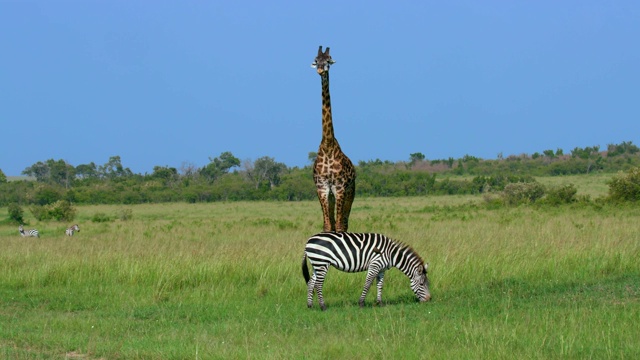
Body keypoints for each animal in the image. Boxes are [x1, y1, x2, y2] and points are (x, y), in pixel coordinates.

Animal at [300, 232, 430, 310]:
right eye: (422, 284)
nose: (429, 300)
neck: (391, 254)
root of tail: (308, 241)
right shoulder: (375, 264)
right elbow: (367, 284)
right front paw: (361, 303)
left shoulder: (382, 269)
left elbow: (380, 285)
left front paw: (380, 303)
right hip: (322, 263)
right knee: (318, 284)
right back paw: (323, 306)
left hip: (316, 265)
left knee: (311, 283)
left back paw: (310, 305)